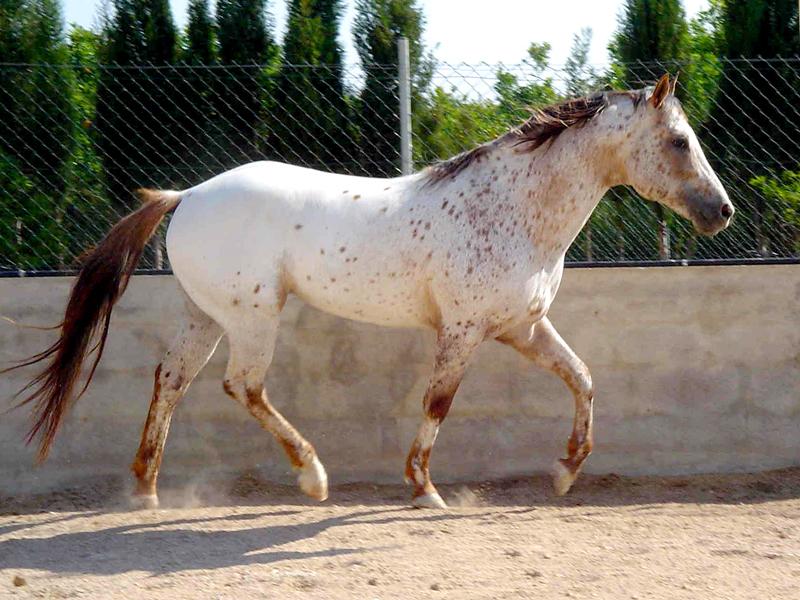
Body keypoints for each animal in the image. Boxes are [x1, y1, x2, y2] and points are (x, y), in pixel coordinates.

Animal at [7, 72, 732, 508]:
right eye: (678, 140)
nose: (720, 212)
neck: (513, 209)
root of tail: (185, 195)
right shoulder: (463, 331)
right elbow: (438, 404)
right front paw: (425, 490)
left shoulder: (521, 327)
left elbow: (582, 379)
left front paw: (564, 472)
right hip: (253, 316)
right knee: (243, 386)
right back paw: (312, 477)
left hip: (206, 315)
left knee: (171, 380)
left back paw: (149, 491)